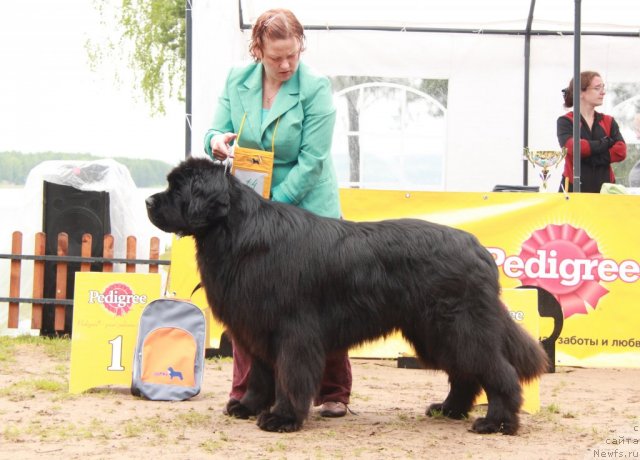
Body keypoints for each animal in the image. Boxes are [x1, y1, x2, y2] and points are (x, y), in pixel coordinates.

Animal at [148, 156, 548, 434]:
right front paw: (248, 407)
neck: (238, 233)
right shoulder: (257, 328)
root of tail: (478, 248)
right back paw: (448, 409)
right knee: (465, 373)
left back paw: (496, 422)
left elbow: (290, 375)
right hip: (433, 332)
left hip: (459, 326)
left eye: (178, 189)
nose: (149, 202)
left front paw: (283, 418)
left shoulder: (293, 330)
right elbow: (261, 374)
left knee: (499, 371)